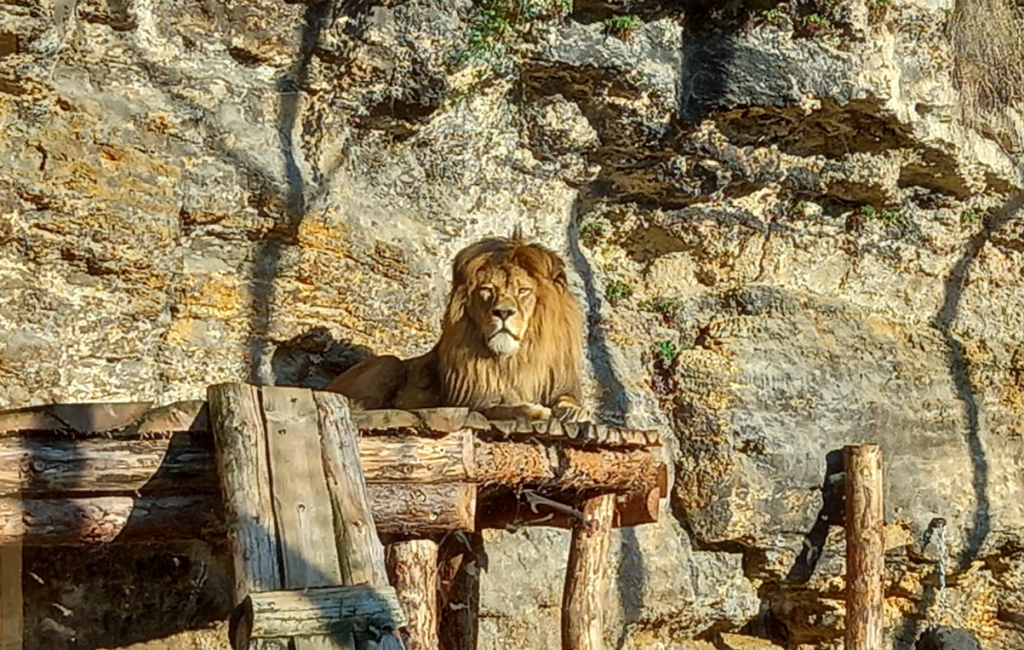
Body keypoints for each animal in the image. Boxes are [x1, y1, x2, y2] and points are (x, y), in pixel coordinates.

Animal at [323, 227, 589, 421]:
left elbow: (568, 400)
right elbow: (503, 407)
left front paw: (575, 411)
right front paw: (533, 409)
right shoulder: (475, 400)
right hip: (388, 362)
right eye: (487, 290)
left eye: (523, 291)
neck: (515, 359)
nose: (503, 312)